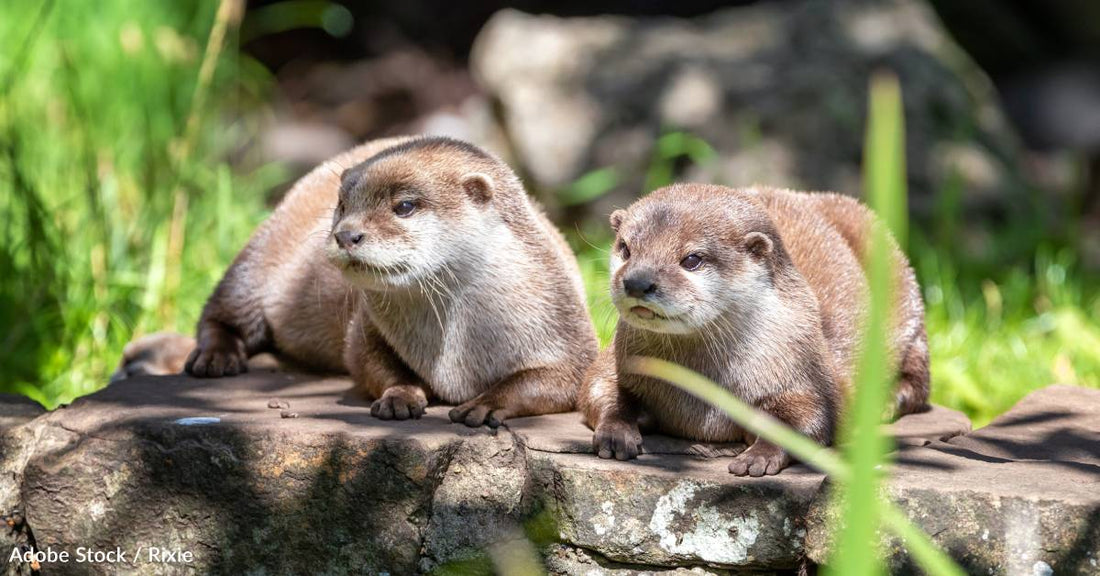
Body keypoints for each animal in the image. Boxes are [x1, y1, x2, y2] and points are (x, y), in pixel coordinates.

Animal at [117, 137, 598, 424]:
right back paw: (215, 357)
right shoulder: (365, 327)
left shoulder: (566, 325)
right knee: (222, 310)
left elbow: (554, 382)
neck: (463, 343)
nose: (346, 234)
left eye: (405, 206)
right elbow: (367, 362)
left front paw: (484, 402)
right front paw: (402, 396)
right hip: (260, 254)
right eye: (343, 205)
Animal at [580, 185, 932, 477]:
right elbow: (597, 388)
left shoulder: (805, 368)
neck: (698, 397)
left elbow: (812, 417)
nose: (637, 282)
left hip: (905, 290)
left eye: (692, 259)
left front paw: (757, 455)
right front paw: (616, 433)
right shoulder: (619, 357)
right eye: (626, 248)